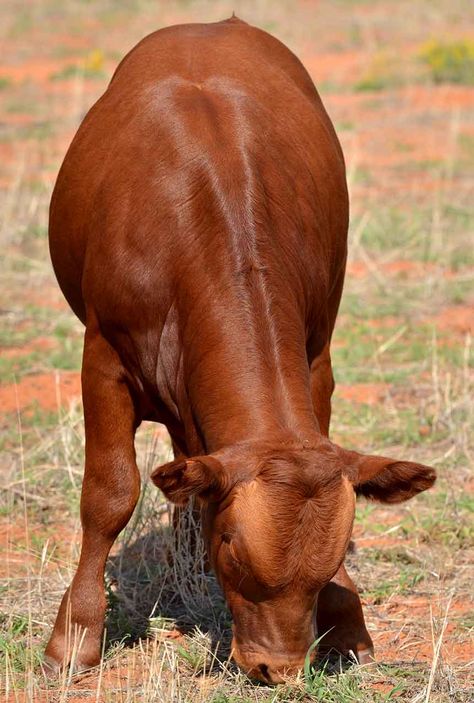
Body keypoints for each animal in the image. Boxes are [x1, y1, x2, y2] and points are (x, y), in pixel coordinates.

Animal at [45, 17, 436, 688]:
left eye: (331, 559)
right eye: (233, 546)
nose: (275, 667)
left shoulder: (316, 357)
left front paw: (346, 622)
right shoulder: (103, 358)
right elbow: (110, 495)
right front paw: (75, 638)